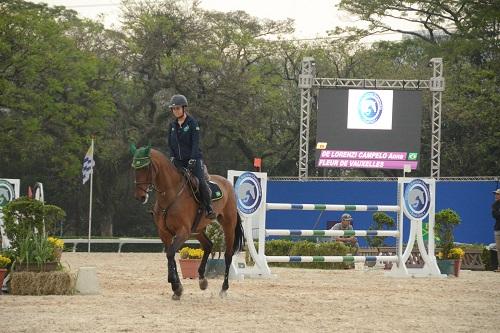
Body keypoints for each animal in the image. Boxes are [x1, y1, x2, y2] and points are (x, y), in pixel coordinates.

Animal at [130, 144, 245, 300]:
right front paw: (176, 287)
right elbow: (170, 255)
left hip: (228, 224)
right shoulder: (165, 233)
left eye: (146, 167)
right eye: (134, 168)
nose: (140, 196)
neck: (171, 194)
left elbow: (170, 254)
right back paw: (202, 280)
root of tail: (226, 183)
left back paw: (224, 288)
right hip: (197, 230)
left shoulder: (183, 232)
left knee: (228, 255)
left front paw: (175, 285)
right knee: (208, 245)